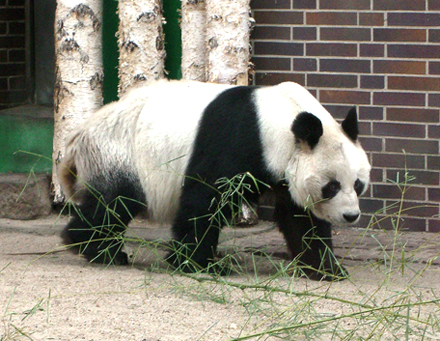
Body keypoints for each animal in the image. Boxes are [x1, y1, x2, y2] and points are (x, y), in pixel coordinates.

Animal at [60, 79, 370, 278]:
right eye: (332, 186)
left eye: (357, 184)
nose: (350, 216)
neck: (283, 120)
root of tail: (79, 135)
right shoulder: (238, 139)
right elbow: (205, 200)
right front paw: (196, 263)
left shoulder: (284, 168)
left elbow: (301, 218)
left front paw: (326, 269)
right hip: (119, 154)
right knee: (112, 204)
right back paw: (96, 248)